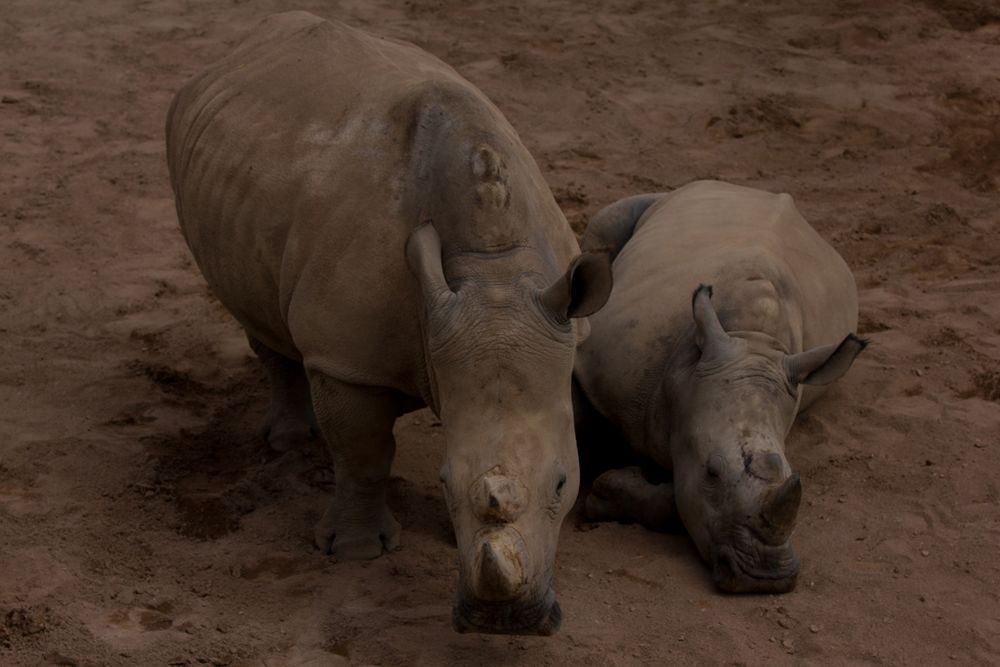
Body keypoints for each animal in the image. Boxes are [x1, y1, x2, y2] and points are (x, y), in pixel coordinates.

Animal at [167, 11, 612, 636]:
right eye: (443, 483)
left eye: (563, 484)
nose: (506, 624)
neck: (494, 272)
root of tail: (238, 50)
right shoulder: (346, 358)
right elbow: (364, 452)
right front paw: (356, 552)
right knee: (258, 320)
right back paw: (289, 443)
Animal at [572, 180, 868, 592]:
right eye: (712, 472)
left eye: (793, 475)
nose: (766, 579)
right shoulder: (602, 369)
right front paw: (602, 491)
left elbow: (678, 502)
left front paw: (610, 488)